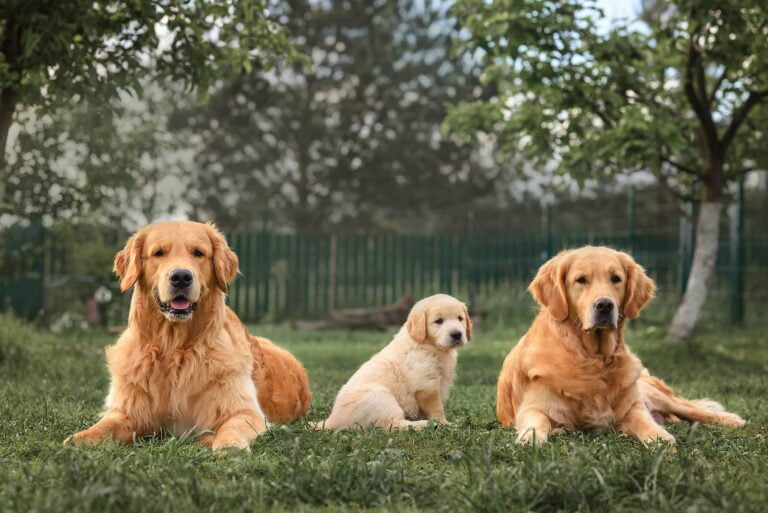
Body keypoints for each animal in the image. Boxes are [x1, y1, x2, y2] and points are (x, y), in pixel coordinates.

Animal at [67, 218, 312, 450]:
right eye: (159, 253)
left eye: (198, 253)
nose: (181, 277)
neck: (174, 348)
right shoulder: (127, 410)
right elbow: (102, 428)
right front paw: (74, 441)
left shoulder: (245, 412)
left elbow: (232, 429)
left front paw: (228, 447)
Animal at [314, 294, 472, 430]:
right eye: (439, 321)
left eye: (460, 318)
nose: (457, 334)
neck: (429, 345)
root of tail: (332, 420)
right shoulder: (426, 385)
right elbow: (436, 408)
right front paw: (443, 423)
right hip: (380, 396)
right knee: (393, 425)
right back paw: (423, 424)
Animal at [496, 246, 748, 442]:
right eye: (581, 280)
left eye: (615, 278)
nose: (605, 305)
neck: (593, 358)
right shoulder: (532, 407)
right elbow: (537, 421)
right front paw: (531, 438)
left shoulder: (633, 406)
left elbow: (644, 421)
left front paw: (660, 437)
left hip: (654, 395)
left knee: (691, 409)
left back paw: (731, 419)